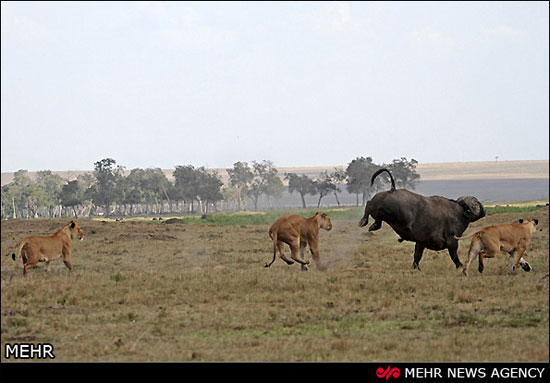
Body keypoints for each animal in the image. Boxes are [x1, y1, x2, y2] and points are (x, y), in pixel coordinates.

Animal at [358, 168, 488, 270]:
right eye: (475, 204)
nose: (483, 210)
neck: (458, 213)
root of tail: (392, 190)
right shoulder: (452, 242)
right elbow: (454, 256)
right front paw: (460, 266)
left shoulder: (421, 243)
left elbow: (417, 256)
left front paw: (415, 268)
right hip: (386, 211)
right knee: (368, 205)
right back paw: (363, 221)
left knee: (375, 216)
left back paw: (373, 226)